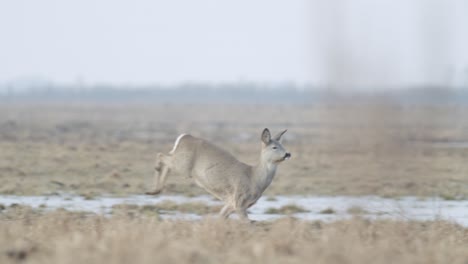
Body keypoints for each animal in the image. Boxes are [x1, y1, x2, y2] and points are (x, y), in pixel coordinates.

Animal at [148, 128, 290, 221]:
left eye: (282, 145)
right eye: (274, 147)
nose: (288, 154)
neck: (254, 178)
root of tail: (183, 137)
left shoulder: (231, 203)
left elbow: (221, 217)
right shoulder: (239, 201)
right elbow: (248, 225)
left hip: (179, 160)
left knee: (165, 157)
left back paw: (154, 190)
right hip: (182, 165)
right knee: (161, 155)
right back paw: (153, 188)